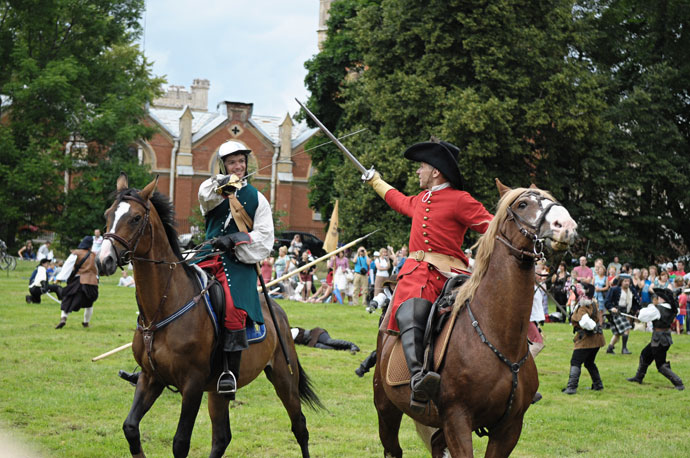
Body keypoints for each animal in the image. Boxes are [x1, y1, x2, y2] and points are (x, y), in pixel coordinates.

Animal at [97, 174, 320, 456]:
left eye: (136, 218)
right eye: (109, 214)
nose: (103, 260)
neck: (162, 309)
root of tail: (277, 310)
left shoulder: (192, 386)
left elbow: (180, 442)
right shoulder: (150, 378)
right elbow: (130, 428)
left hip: (284, 378)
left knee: (300, 427)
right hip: (218, 391)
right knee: (222, 438)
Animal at [370, 180, 576, 458]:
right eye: (523, 204)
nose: (566, 226)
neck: (500, 336)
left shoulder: (509, 427)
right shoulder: (457, 419)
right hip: (386, 407)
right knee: (393, 448)